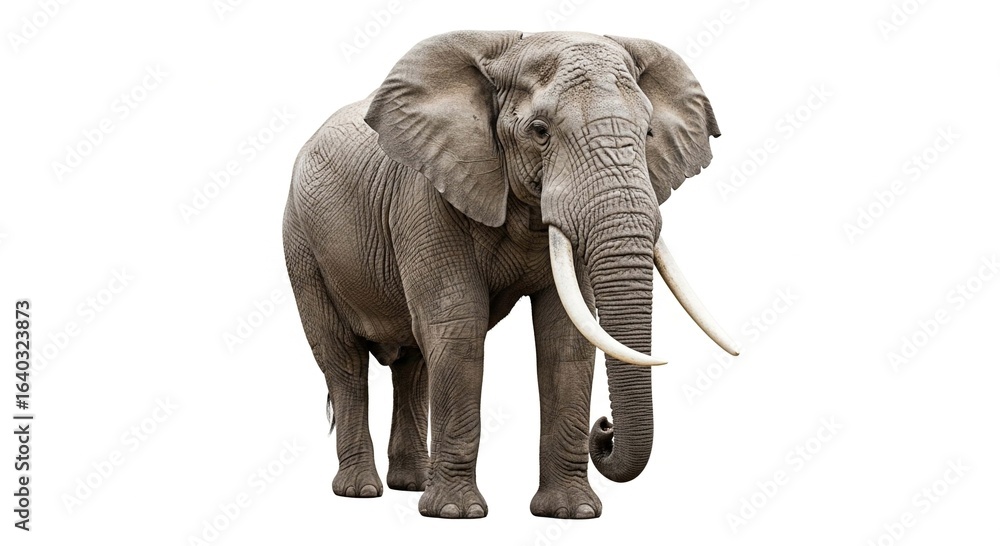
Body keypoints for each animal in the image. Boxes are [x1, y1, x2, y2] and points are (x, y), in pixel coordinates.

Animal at [282, 30, 738, 519]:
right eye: (539, 132)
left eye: (648, 132)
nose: (604, 427)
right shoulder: (424, 196)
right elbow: (458, 326)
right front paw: (455, 514)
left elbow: (567, 337)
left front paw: (572, 513)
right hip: (301, 247)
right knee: (344, 362)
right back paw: (360, 491)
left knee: (413, 363)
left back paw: (410, 485)